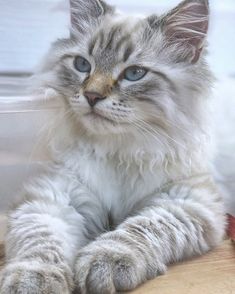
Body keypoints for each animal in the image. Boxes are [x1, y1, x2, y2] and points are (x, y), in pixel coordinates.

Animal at [0, 0, 226, 292]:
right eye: (82, 65)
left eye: (134, 73)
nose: (91, 96)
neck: (120, 150)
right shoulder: (56, 198)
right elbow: (41, 241)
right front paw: (33, 280)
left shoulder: (186, 200)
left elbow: (140, 228)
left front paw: (106, 260)